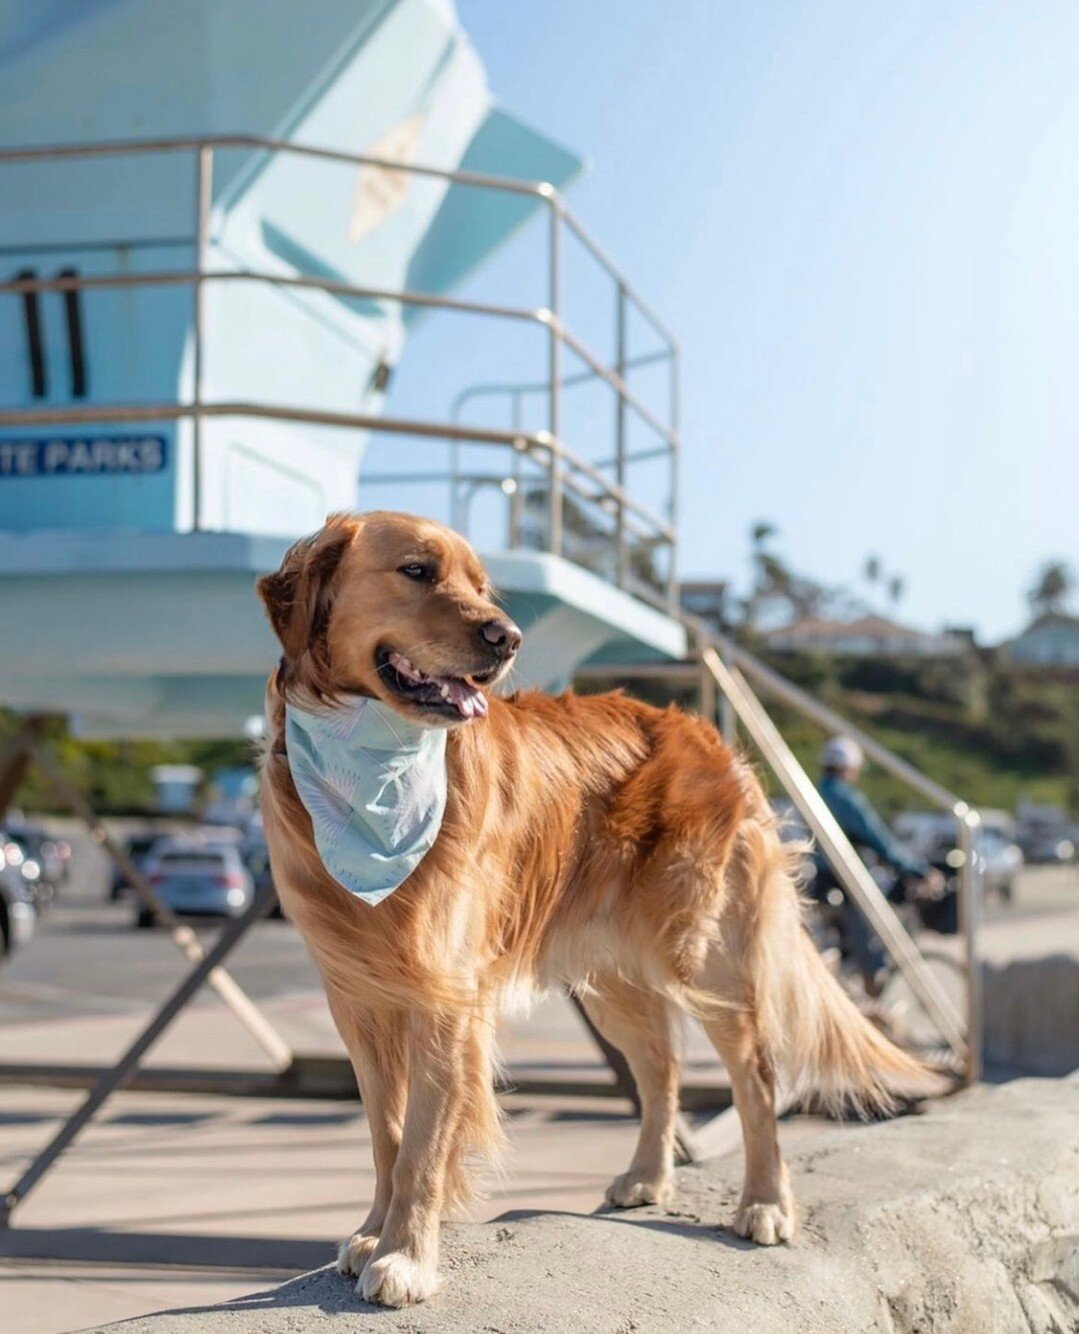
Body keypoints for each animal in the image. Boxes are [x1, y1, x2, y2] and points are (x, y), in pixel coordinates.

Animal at [257, 514, 928, 1307]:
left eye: (482, 587)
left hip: (701, 951)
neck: (377, 768)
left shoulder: (448, 995)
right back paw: (647, 1175)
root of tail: (705, 733)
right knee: (663, 1065)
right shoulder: (356, 997)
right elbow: (386, 1134)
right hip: (612, 977)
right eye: (417, 571)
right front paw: (371, 1233)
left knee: (756, 1073)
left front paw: (406, 1256)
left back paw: (765, 1202)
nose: (507, 638)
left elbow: (423, 1143)